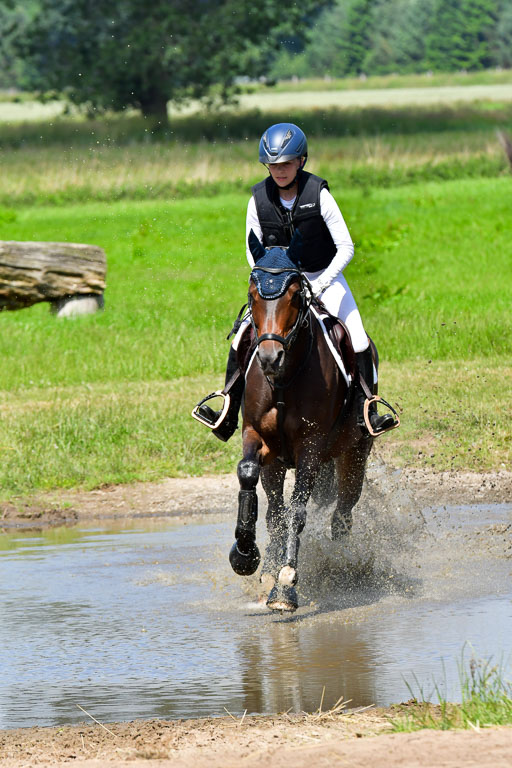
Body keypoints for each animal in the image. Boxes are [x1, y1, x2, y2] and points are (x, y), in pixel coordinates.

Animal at [228, 230, 384, 613]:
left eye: (296, 296)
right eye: (253, 294)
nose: (270, 358)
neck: (285, 378)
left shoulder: (311, 448)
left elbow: (296, 511)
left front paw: (286, 585)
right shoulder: (259, 440)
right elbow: (264, 499)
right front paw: (248, 558)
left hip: (354, 456)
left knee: (342, 515)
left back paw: (343, 568)